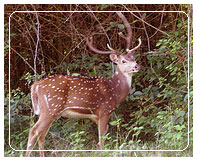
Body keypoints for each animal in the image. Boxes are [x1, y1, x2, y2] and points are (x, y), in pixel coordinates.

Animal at [25, 11, 142, 157]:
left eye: (134, 58)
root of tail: (35, 85)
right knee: (33, 131)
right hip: (50, 108)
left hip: (50, 112)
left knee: (41, 135)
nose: (137, 66)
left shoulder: (96, 116)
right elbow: (101, 139)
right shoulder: (104, 110)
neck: (114, 91)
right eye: (123, 61)